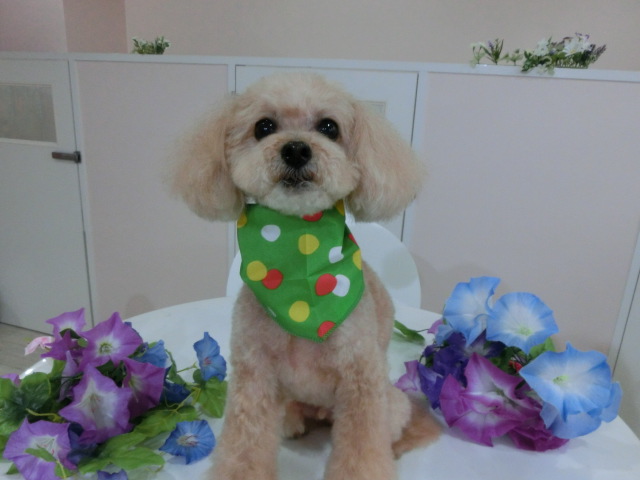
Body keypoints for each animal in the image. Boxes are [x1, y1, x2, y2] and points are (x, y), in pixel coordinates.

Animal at [173, 72, 439, 480]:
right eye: (263, 127)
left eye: (329, 127)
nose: (296, 150)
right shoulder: (254, 378)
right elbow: (244, 447)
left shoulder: (361, 383)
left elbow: (363, 450)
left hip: (389, 401)